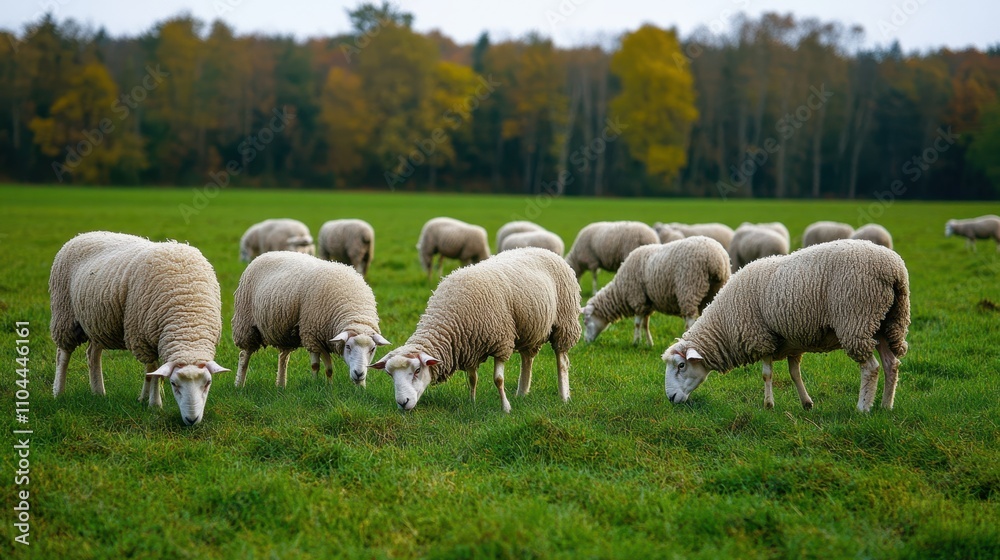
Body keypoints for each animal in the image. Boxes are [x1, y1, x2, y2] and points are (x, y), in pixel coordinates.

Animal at [49, 231, 229, 426]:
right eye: (174, 384)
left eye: (208, 383)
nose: (191, 419)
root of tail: (83, 234)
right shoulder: (141, 338)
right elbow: (152, 371)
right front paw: (154, 404)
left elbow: (151, 373)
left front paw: (144, 399)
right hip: (65, 315)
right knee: (62, 355)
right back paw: (58, 392)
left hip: (97, 322)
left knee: (93, 354)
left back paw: (98, 392)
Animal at [232, 251, 390, 389]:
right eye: (348, 347)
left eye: (373, 349)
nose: (358, 373)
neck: (354, 310)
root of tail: (264, 254)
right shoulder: (312, 335)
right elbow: (316, 365)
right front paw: (315, 385)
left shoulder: (324, 337)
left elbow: (329, 369)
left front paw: (356, 388)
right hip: (246, 324)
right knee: (243, 355)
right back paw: (239, 384)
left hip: (285, 332)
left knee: (283, 358)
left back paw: (281, 386)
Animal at [371, 248, 582, 413]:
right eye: (389, 374)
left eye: (417, 370)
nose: (402, 403)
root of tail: (546, 250)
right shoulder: (469, 346)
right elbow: (472, 379)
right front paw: (472, 403)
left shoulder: (501, 341)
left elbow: (498, 379)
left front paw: (506, 408)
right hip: (530, 329)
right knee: (527, 359)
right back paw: (522, 393)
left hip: (565, 322)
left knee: (562, 361)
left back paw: (564, 396)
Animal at [581, 236, 731, 345]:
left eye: (586, 321)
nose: (586, 342)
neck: (619, 291)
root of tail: (718, 260)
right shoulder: (647, 303)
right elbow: (645, 324)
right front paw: (649, 343)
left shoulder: (637, 297)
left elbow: (637, 323)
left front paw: (635, 342)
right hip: (715, 290)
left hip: (690, 287)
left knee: (690, 320)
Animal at [662, 239, 910, 412]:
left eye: (681, 365)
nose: (670, 399)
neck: (724, 324)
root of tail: (894, 269)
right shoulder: (792, 342)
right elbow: (794, 374)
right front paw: (806, 403)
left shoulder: (759, 337)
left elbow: (766, 374)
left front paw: (768, 405)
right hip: (886, 321)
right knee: (891, 364)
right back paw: (886, 406)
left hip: (857, 318)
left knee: (871, 368)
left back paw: (863, 408)